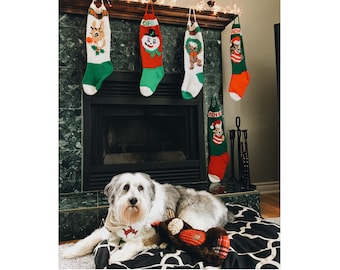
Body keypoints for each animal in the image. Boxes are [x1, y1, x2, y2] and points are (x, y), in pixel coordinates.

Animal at [61, 173, 234, 264]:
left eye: (140, 188)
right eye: (125, 187)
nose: (133, 200)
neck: (130, 221)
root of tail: (224, 209)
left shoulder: (150, 234)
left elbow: (134, 244)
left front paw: (117, 255)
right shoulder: (108, 230)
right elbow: (89, 239)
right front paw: (70, 252)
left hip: (188, 216)